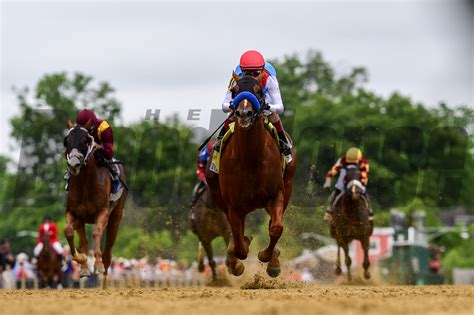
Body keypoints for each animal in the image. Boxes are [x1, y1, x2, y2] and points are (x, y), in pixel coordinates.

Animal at [65, 122, 129, 290]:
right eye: (67, 141)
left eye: (86, 140)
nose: (74, 165)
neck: (85, 183)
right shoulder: (73, 213)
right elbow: (69, 232)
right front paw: (81, 260)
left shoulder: (103, 212)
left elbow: (96, 232)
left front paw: (98, 265)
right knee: (83, 240)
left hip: (115, 219)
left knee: (108, 253)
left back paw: (104, 282)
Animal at [207, 72, 296, 278]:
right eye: (234, 90)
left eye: (258, 91)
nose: (244, 114)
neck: (251, 159)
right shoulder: (233, 204)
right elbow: (239, 243)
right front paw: (239, 256)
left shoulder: (276, 194)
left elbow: (276, 228)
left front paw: (268, 258)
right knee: (236, 232)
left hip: (288, 185)